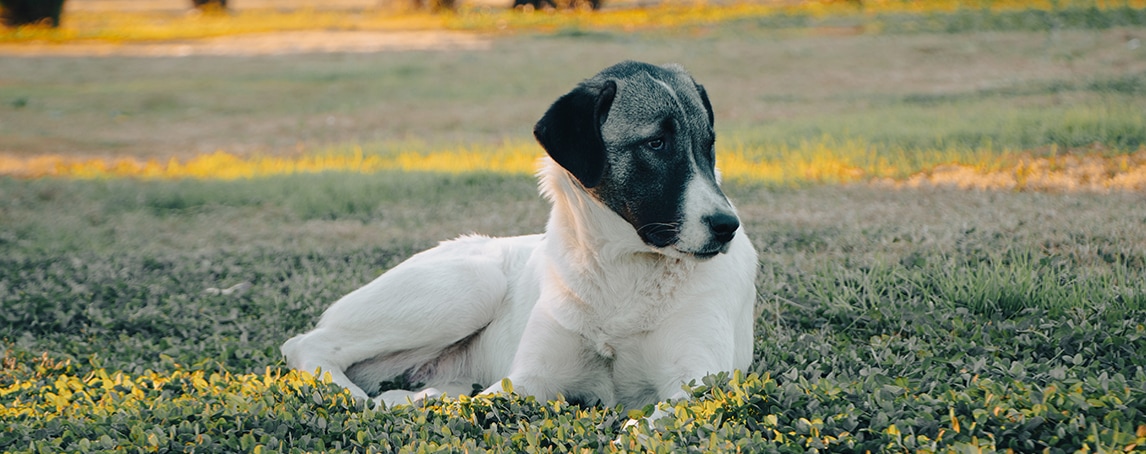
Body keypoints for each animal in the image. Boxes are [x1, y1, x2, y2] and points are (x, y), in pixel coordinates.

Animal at [280, 58, 756, 410]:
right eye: (656, 143)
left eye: (708, 145)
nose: (726, 226)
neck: (622, 272)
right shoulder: (530, 379)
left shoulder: (695, 385)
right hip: (473, 284)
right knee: (305, 344)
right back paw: (357, 399)